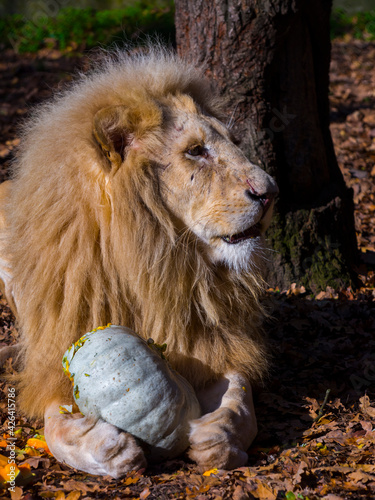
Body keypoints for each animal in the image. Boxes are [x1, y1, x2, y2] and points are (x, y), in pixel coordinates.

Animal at [0, 47, 280, 476]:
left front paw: (219, 436)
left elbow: (239, 395)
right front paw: (106, 448)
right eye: (195, 151)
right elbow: (55, 424)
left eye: (234, 142)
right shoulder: (59, 355)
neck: (153, 263)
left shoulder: (214, 345)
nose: (271, 193)